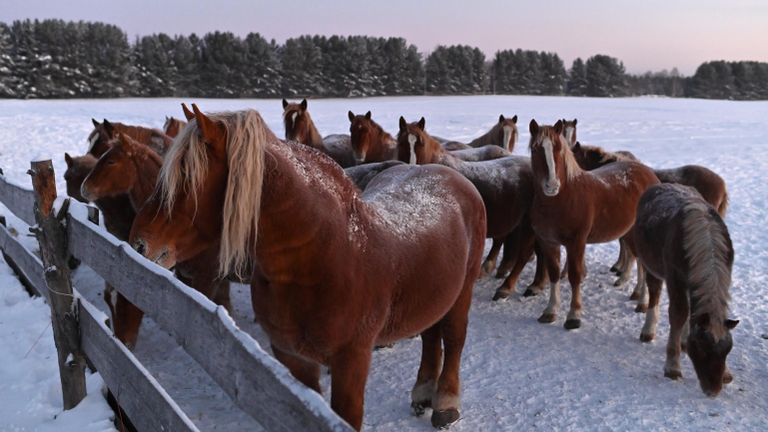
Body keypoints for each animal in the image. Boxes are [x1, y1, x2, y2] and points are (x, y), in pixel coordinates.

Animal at [129, 105, 486, 430]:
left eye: (187, 176)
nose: (139, 243)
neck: (323, 258)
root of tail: (451, 176)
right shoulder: (293, 358)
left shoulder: (351, 362)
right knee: (430, 335)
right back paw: (423, 391)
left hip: (462, 292)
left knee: (454, 338)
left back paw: (445, 403)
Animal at [396, 116, 537, 299]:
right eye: (401, 143)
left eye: (420, 143)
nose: (411, 166)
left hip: (529, 226)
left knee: (524, 254)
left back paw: (506, 287)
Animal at [528, 120, 659, 329]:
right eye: (535, 149)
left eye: (558, 148)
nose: (552, 186)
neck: (563, 198)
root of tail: (648, 173)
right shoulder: (548, 242)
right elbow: (554, 274)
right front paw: (550, 311)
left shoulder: (576, 243)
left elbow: (575, 276)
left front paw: (573, 316)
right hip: (630, 234)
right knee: (639, 262)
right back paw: (638, 295)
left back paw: (643, 303)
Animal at [632, 183, 738, 396]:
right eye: (702, 348)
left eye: (727, 350)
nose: (713, 390)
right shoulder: (675, 279)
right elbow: (678, 313)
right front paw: (672, 366)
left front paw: (726, 373)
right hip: (652, 266)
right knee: (654, 293)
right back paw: (649, 330)